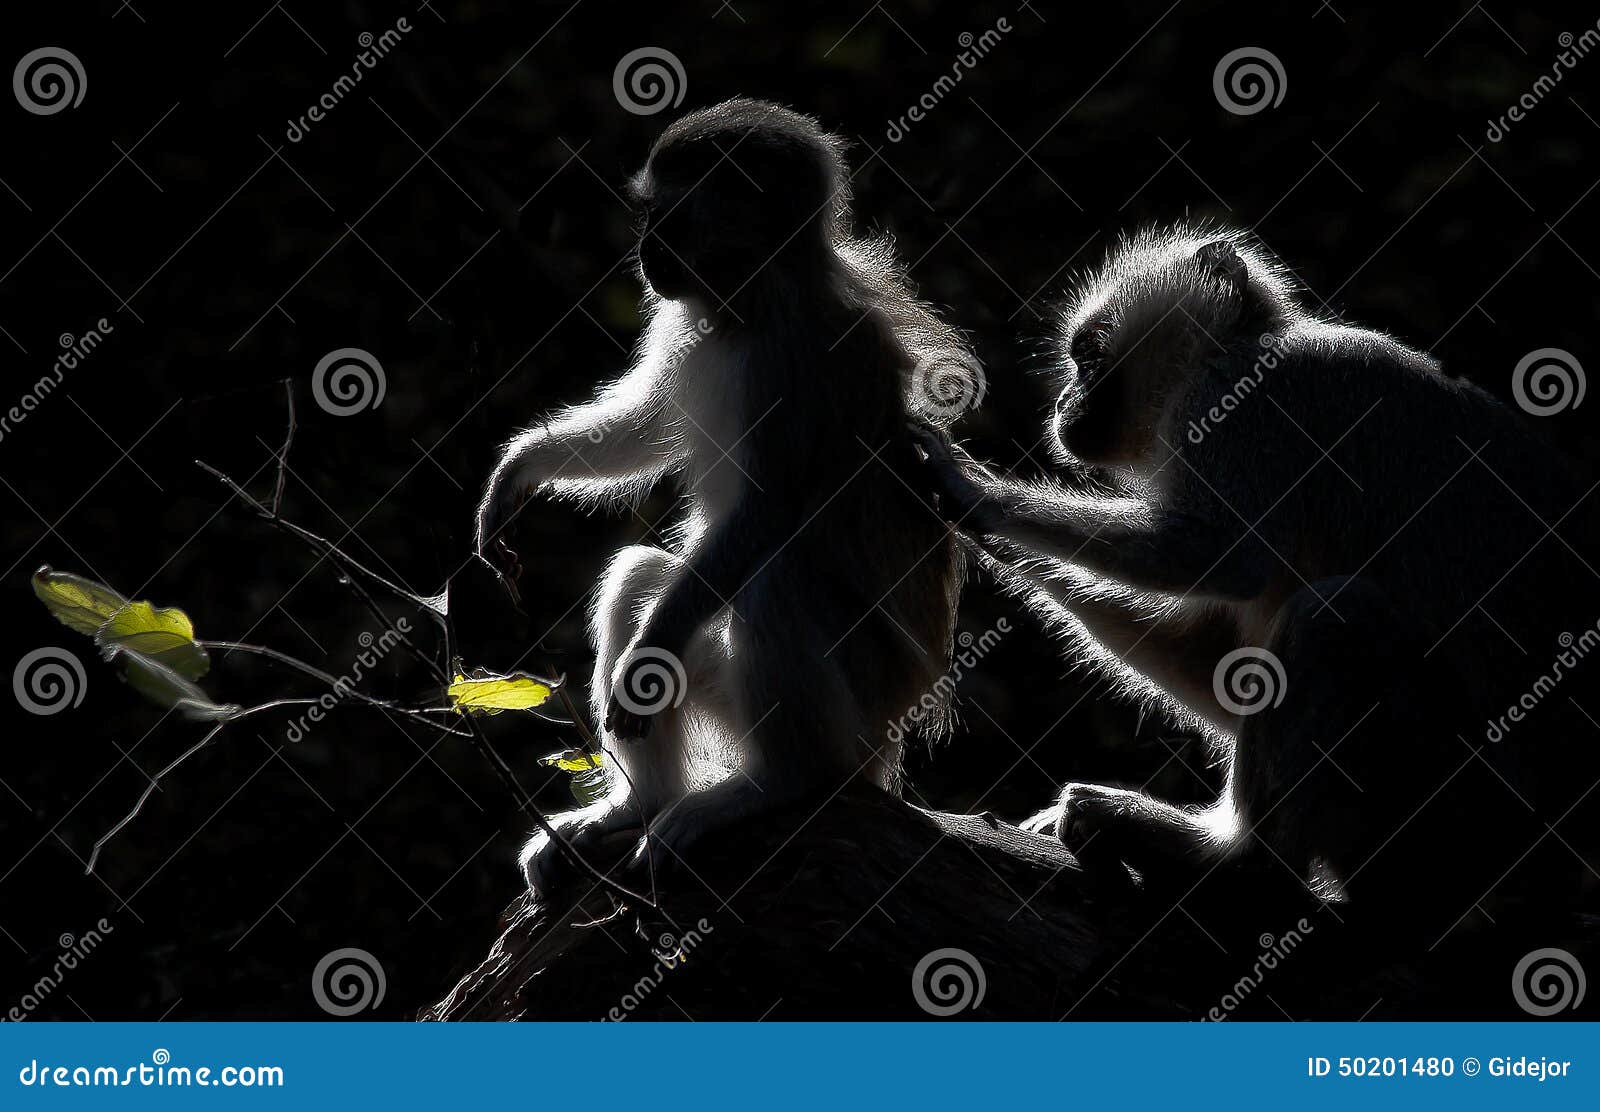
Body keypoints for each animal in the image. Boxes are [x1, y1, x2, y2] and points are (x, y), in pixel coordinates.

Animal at [477, 99, 967, 894]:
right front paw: (521, 467)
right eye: (647, 219)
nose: (645, 253)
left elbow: (768, 512)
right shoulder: (693, 318)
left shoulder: (795, 359)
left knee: (771, 579)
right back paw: (636, 806)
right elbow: (649, 426)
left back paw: (781, 784)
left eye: (669, 220)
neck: (752, 306)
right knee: (640, 580)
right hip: (720, 683)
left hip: (862, 715)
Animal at [917, 223, 1600, 921]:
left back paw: (1241, 862)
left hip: (1439, 802)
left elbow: (1215, 557)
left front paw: (979, 495)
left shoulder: (1240, 403)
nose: (1063, 402)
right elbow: (1214, 659)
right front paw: (993, 540)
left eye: (1089, 357)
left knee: (1334, 615)